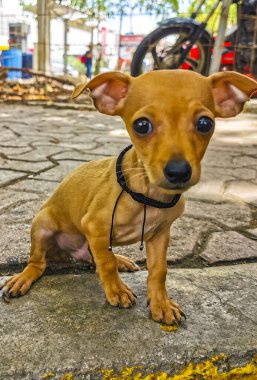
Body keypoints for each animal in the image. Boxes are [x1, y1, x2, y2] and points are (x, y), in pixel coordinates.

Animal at [2, 70, 256, 326]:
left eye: (205, 123)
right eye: (142, 125)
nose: (178, 172)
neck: (148, 197)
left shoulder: (160, 235)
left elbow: (158, 271)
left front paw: (161, 303)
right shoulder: (94, 226)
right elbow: (105, 264)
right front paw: (117, 290)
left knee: (91, 256)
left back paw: (120, 260)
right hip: (42, 225)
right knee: (40, 262)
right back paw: (23, 277)